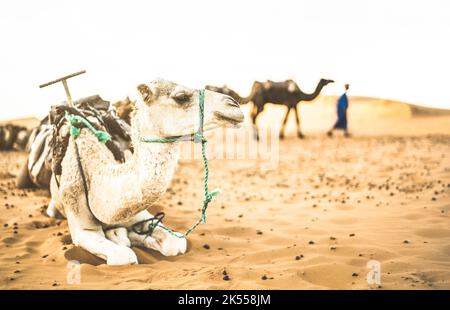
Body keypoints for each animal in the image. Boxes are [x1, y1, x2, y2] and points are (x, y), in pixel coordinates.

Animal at [46, 78, 243, 266]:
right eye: (181, 97)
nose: (234, 105)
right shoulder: (82, 228)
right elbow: (124, 256)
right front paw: (122, 237)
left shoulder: (139, 214)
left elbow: (176, 244)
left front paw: (132, 236)